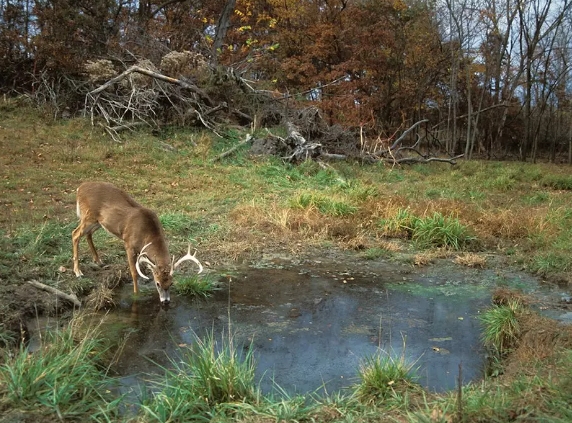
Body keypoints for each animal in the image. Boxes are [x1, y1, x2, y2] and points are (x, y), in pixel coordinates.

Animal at [71, 182, 202, 304]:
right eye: (158, 283)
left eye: (171, 283)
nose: (165, 301)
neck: (148, 233)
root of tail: (79, 188)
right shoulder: (129, 244)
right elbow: (134, 272)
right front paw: (136, 294)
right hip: (88, 216)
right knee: (75, 234)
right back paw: (78, 272)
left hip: (98, 222)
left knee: (88, 234)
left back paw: (98, 261)